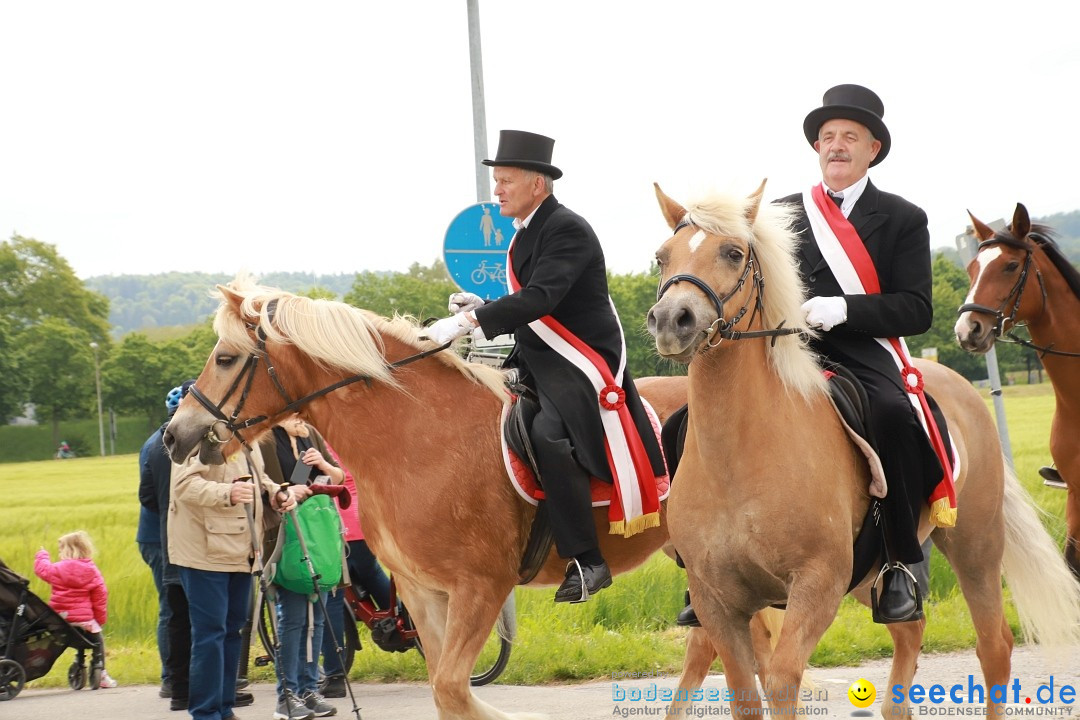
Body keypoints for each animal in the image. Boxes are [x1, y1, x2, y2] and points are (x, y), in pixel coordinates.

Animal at [160, 280, 686, 720]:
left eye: (226, 358)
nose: (173, 435)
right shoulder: (422, 591)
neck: (419, 437)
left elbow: (455, 691)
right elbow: (445, 691)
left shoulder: (480, 587)